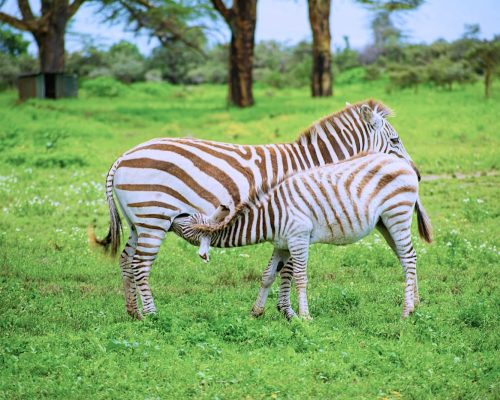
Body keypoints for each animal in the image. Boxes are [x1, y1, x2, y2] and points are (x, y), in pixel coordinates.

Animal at [93, 99, 418, 318]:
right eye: (395, 140)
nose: (415, 173)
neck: (313, 163)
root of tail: (123, 157)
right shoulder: (295, 217)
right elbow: (289, 270)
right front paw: (288, 312)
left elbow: (280, 269)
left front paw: (281, 311)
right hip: (154, 217)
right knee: (141, 264)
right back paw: (152, 315)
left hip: (139, 222)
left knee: (126, 259)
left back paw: (133, 313)